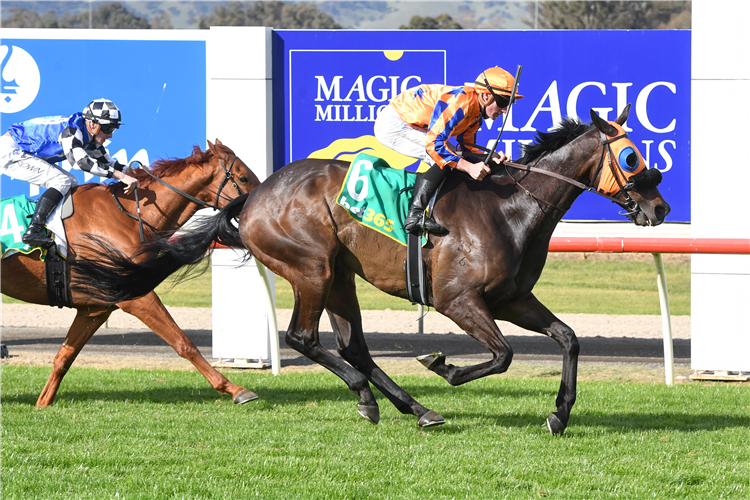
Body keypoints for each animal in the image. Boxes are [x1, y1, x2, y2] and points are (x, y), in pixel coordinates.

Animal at [1, 140, 262, 406]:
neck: (128, 216)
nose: (259, 205)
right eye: (243, 177)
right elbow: (183, 342)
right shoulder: (137, 297)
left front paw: (43, 403)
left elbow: (65, 356)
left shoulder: (96, 309)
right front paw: (235, 389)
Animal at [72, 106, 668, 434]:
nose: (660, 208)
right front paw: (443, 365)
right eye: (634, 158)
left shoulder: (512, 298)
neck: (511, 208)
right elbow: (501, 355)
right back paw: (371, 396)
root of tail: (251, 197)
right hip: (310, 268)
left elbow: (567, 338)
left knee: (353, 344)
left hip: (340, 275)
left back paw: (412, 407)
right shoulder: (458, 300)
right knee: (304, 337)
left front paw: (559, 415)